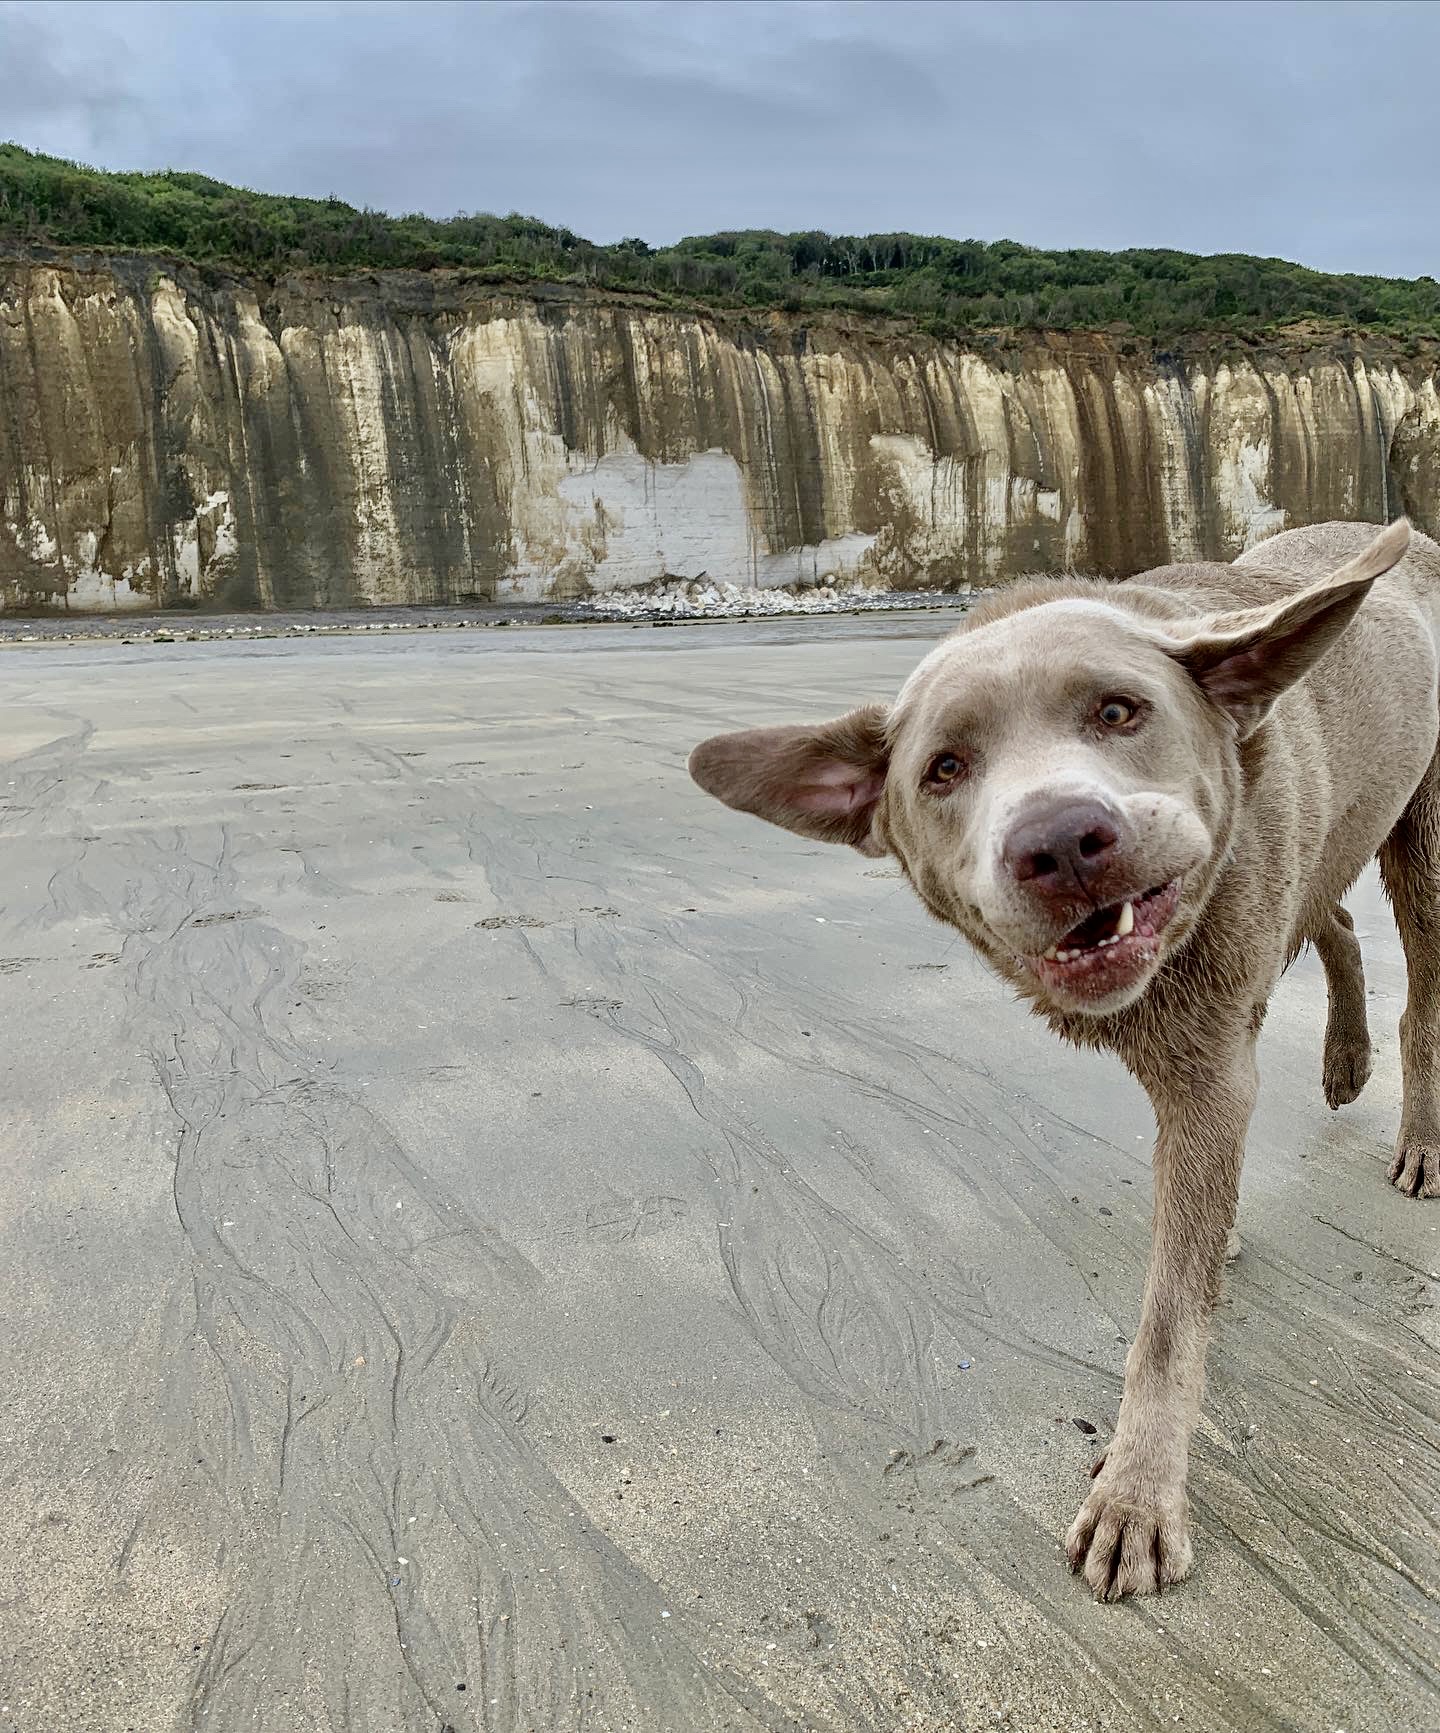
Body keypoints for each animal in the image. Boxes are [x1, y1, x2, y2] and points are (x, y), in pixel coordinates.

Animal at [693, 512, 1434, 1594]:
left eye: (1120, 710)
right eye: (944, 768)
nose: (1061, 842)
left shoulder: (1208, 1063)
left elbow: (1167, 1324)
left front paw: (1137, 1496)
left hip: (1423, 837)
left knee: (1420, 989)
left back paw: (1417, 1133)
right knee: (1329, 912)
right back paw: (1342, 1062)